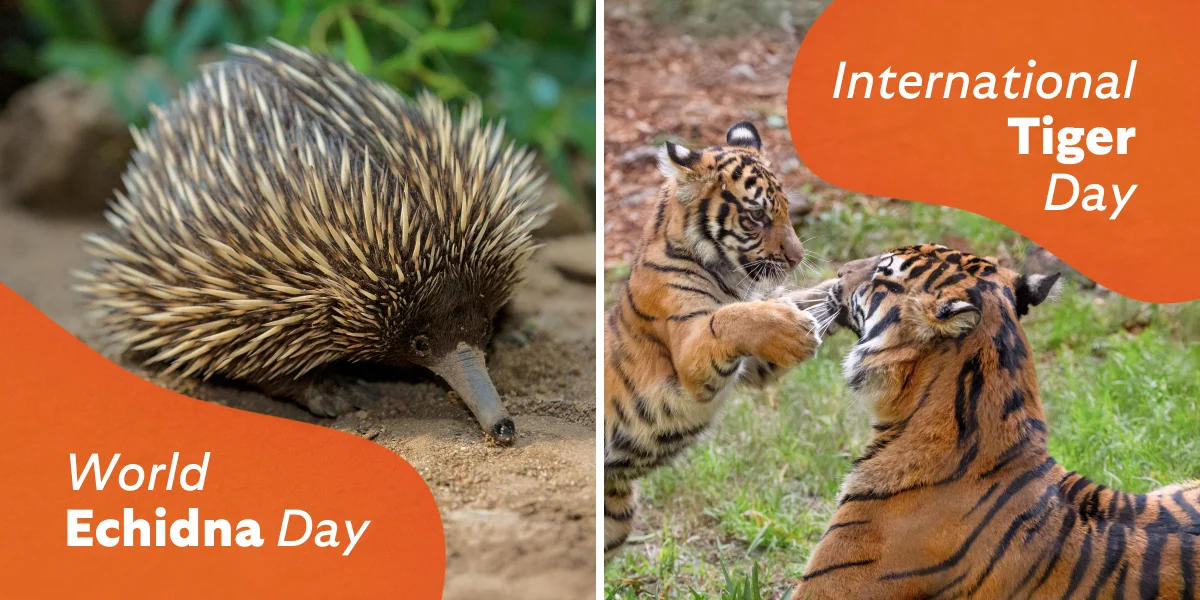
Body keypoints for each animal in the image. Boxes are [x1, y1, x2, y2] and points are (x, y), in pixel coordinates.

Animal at [604, 121, 824, 559]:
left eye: (786, 208)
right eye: (757, 215)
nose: (797, 258)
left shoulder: (751, 366)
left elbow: (806, 296)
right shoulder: (692, 354)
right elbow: (727, 318)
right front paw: (796, 330)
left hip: (615, 516)